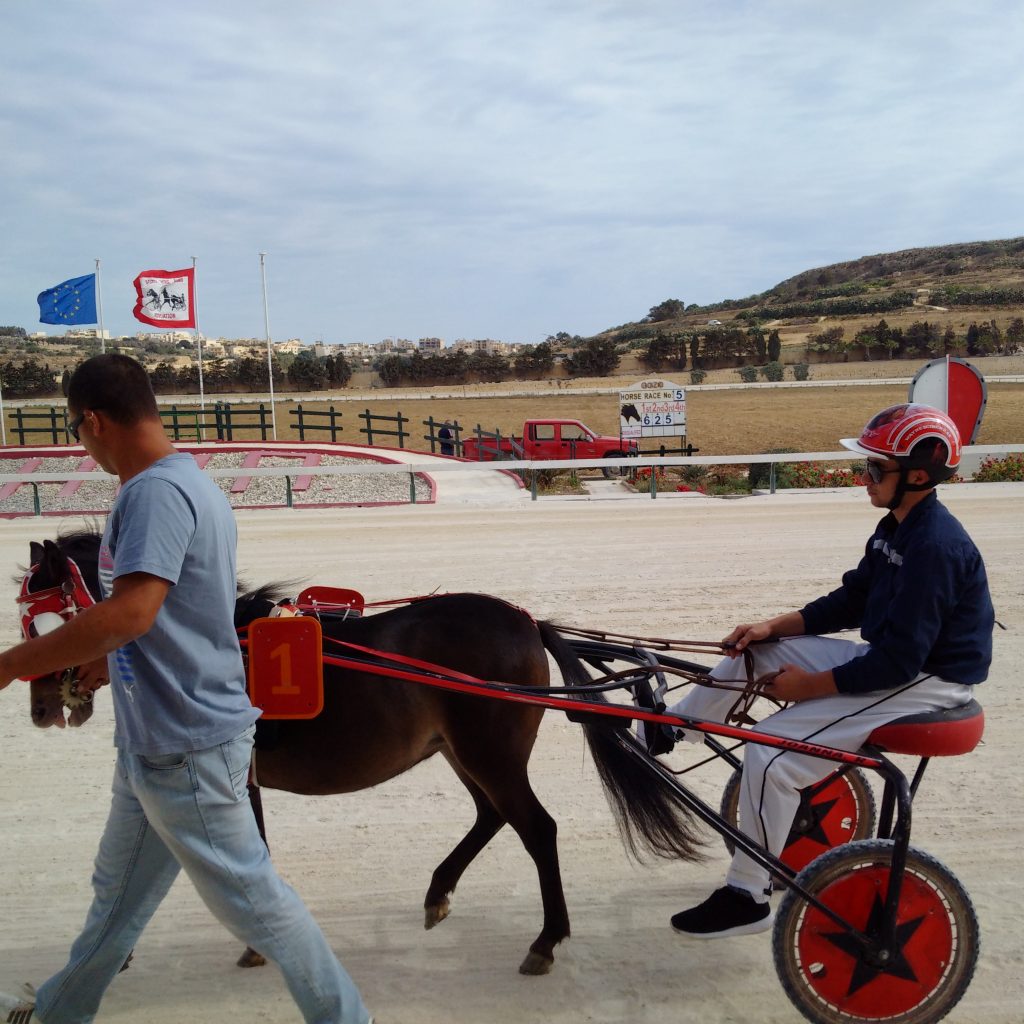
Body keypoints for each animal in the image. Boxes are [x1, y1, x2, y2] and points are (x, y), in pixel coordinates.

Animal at [19, 536, 704, 974]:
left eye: (46, 624)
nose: (40, 709)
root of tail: (526, 622)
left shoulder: (222, 775)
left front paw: (251, 943)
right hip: (460, 751)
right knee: (492, 815)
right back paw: (439, 892)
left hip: (490, 751)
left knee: (536, 828)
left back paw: (546, 939)